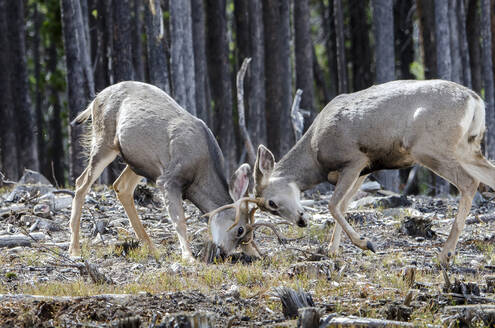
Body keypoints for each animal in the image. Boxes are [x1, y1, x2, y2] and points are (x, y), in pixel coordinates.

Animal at [70, 81, 264, 262]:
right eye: (240, 229)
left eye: (249, 235)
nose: (224, 253)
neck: (200, 175)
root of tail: (95, 99)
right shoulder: (169, 179)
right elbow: (179, 220)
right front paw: (188, 257)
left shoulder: (162, 176)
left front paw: (256, 252)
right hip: (104, 141)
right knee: (81, 183)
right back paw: (74, 250)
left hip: (139, 161)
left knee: (121, 187)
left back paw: (152, 248)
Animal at [223, 80, 495, 266]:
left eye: (271, 202)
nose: (301, 221)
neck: (314, 152)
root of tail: (475, 100)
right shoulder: (365, 169)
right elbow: (343, 206)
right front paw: (331, 251)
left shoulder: (354, 159)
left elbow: (333, 205)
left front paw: (365, 243)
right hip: (468, 148)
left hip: (429, 146)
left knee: (469, 183)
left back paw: (444, 254)